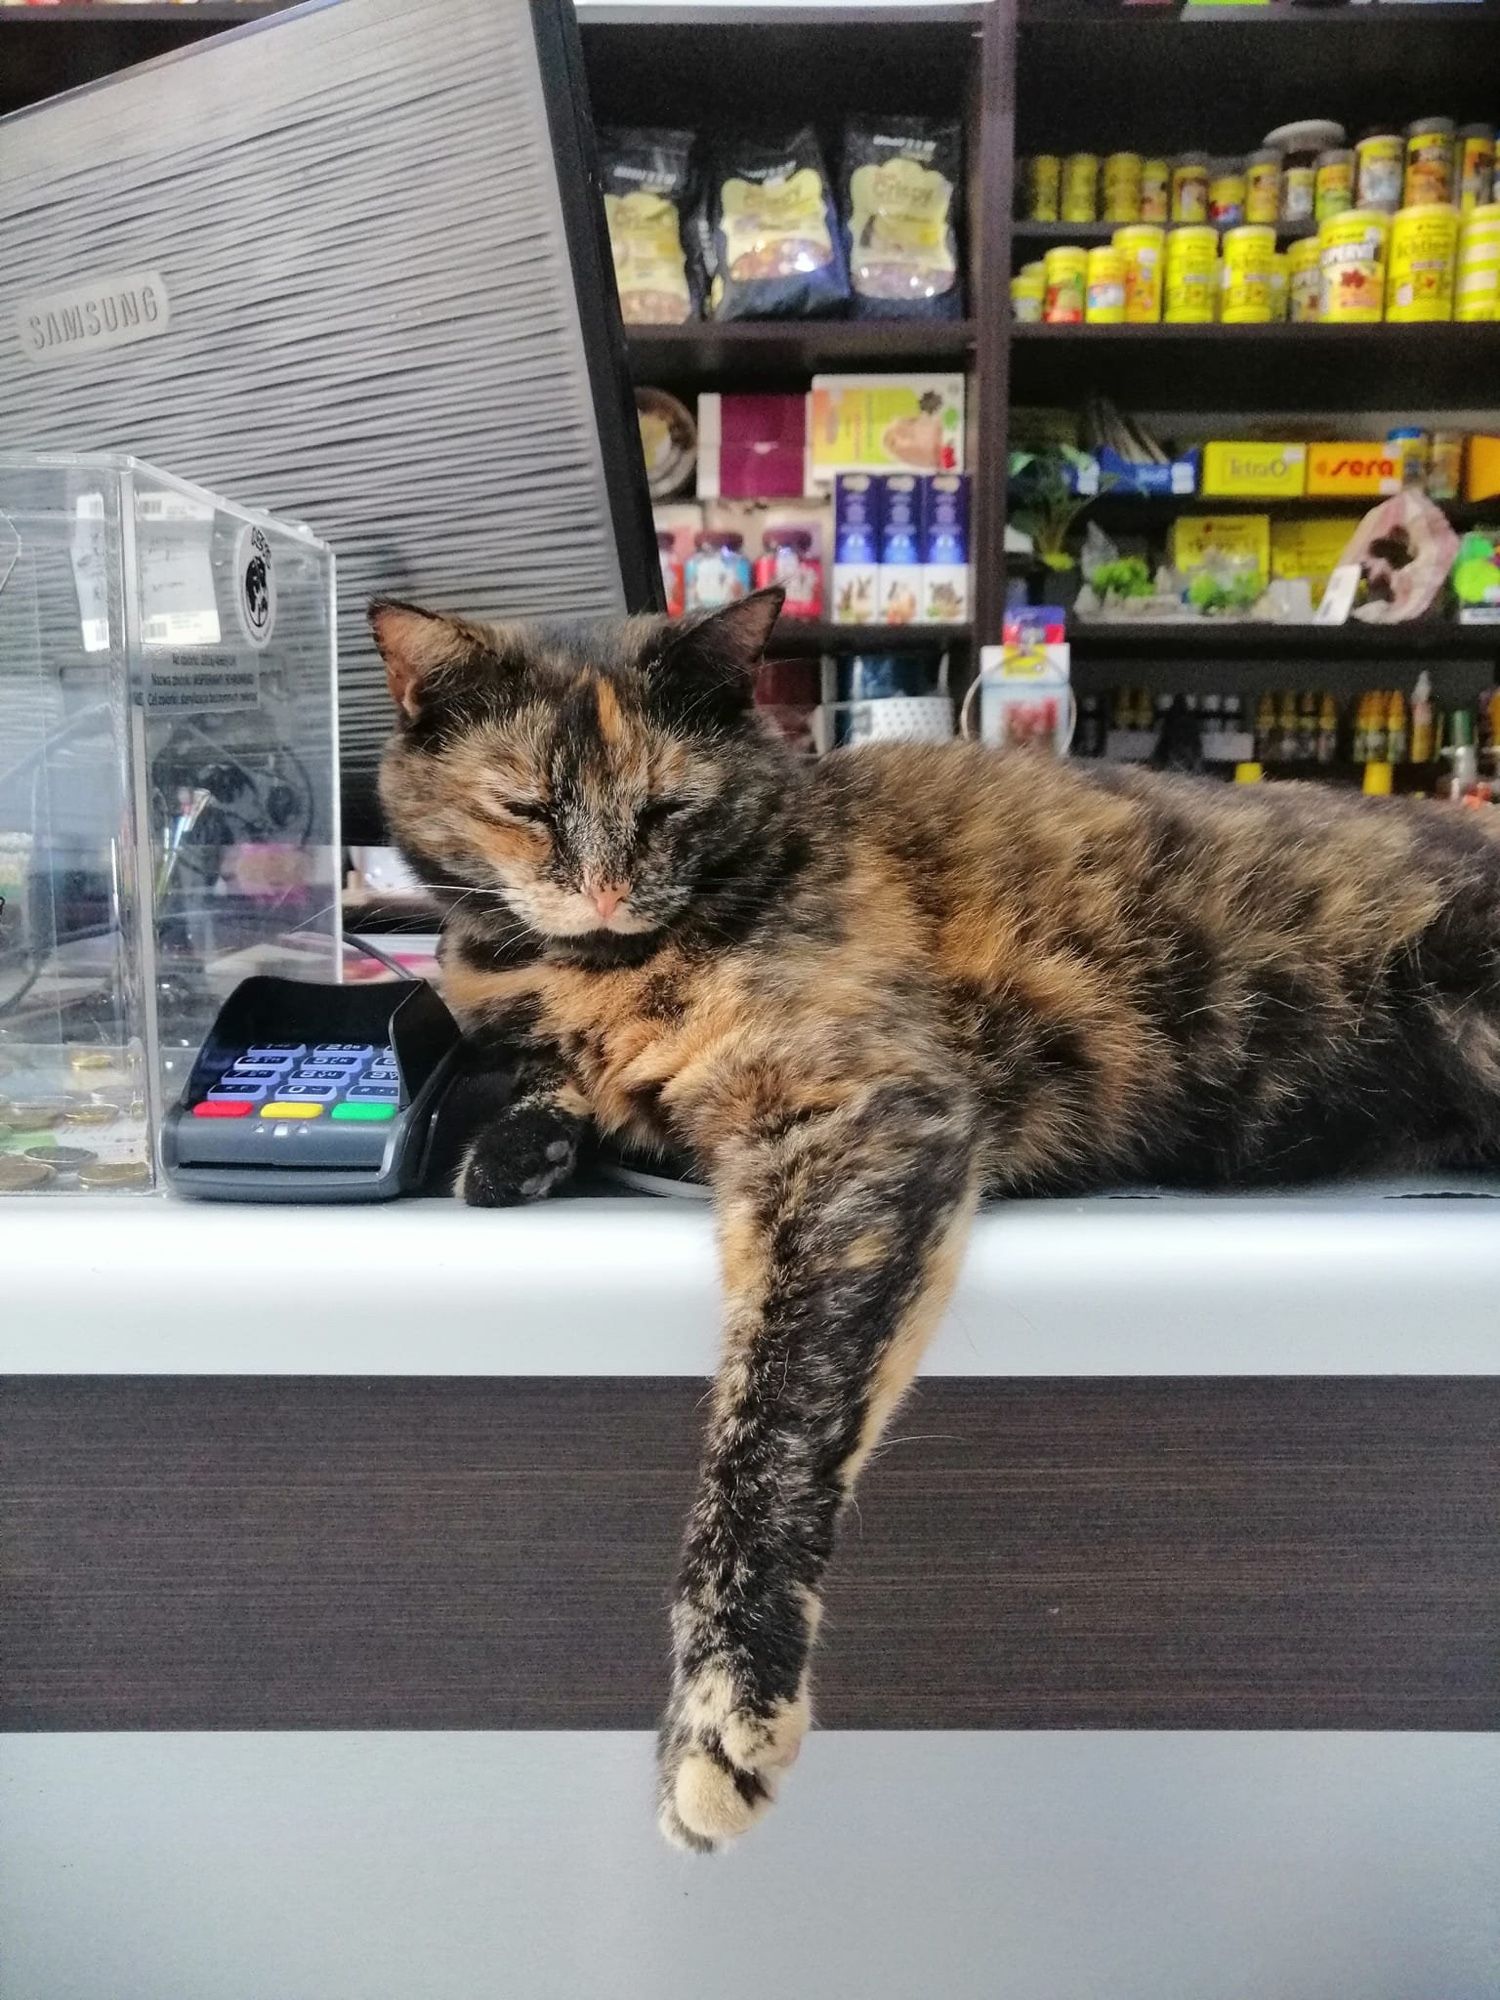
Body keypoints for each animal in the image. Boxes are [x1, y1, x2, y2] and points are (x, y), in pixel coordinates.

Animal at [374, 584, 1500, 1848]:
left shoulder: (859, 1117)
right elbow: (545, 1083)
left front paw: (723, 1712)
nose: (607, 889)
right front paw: (519, 1140)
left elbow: (769, 1428)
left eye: (670, 805)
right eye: (526, 805)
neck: (582, 970)